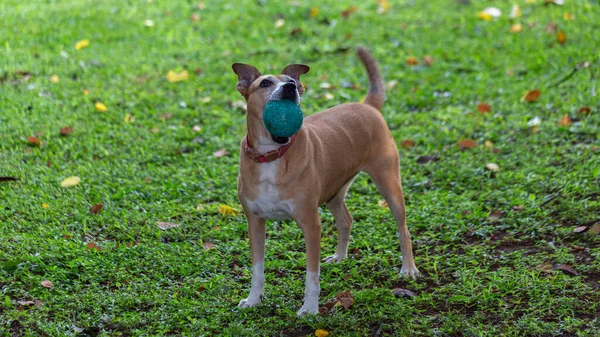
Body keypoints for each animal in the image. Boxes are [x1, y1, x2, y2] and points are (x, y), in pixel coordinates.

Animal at [232, 46, 420, 316]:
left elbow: (312, 275)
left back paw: (409, 268)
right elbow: (258, 268)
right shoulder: (255, 221)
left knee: (403, 229)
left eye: (291, 82)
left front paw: (310, 308)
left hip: (389, 183)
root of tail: (368, 106)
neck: (272, 156)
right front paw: (254, 299)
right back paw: (340, 256)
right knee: (345, 220)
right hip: (334, 190)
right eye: (265, 83)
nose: (290, 87)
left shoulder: (311, 224)